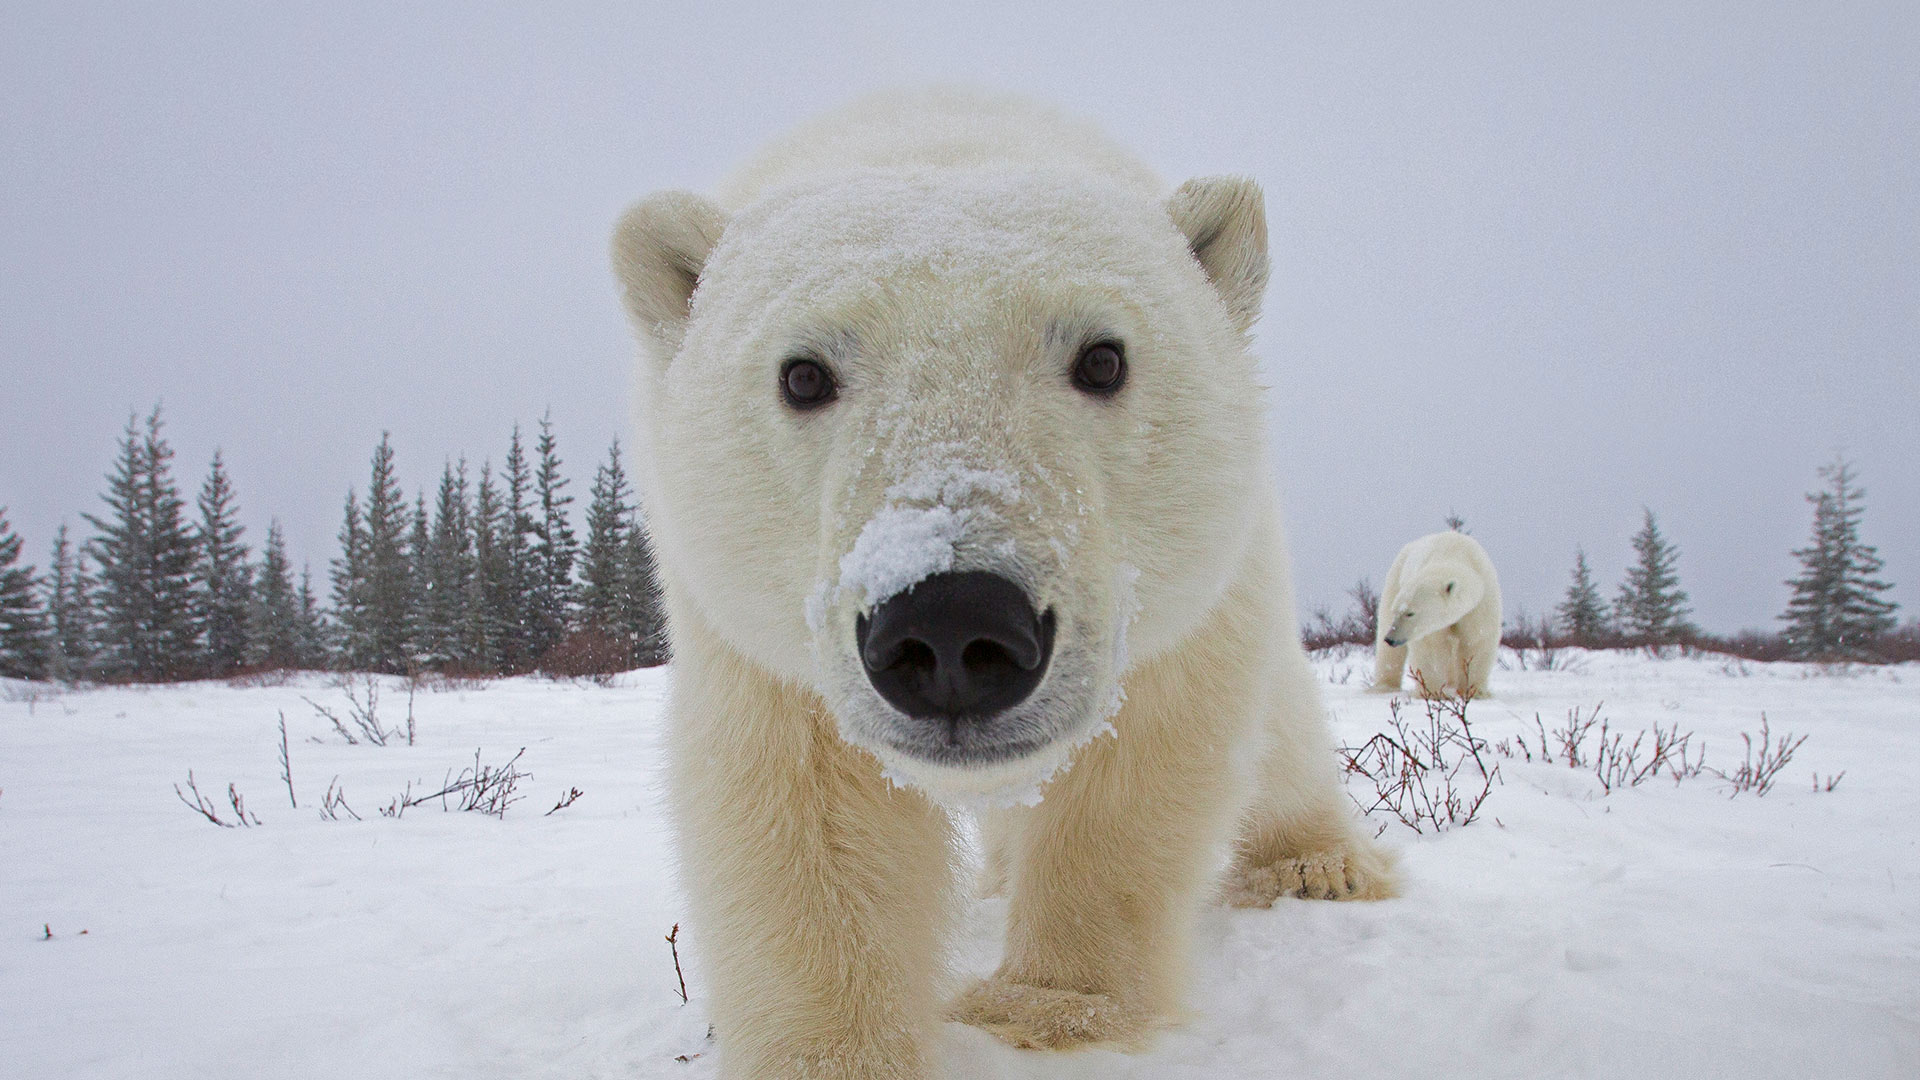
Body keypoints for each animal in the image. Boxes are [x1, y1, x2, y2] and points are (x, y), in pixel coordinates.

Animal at [610, 89, 1395, 1079]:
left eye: (1103, 357)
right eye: (802, 373)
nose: (952, 625)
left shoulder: (1179, 602)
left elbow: (1139, 766)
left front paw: (1045, 1009)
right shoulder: (751, 631)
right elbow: (801, 811)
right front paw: (838, 1052)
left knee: (1281, 728)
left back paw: (1316, 865)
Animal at [1371, 530, 1503, 699]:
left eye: (1410, 613)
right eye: (1398, 611)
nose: (1390, 638)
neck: (1454, 552)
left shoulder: (1481, 602)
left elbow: (1476, 640)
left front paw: (1474, 692)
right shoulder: (1430, 625)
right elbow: (1432, 647)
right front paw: (1433, 693)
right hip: (1395, 577)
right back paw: (1385, 686)